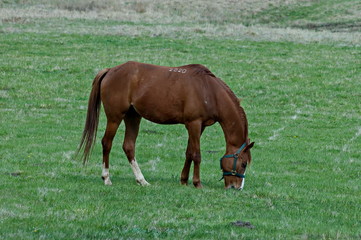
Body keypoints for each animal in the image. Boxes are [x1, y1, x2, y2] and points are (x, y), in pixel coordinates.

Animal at [77, 61, 255, 189]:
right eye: (243, 163)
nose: (237, 187)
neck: (209, 90)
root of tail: (110, 70)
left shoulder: (198, 126)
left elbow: (189, 152)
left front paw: (184, 180)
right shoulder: (194, 124)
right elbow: (197, 155)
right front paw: (197, 183)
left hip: (133, 117)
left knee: (129, 146)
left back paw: (141, 180)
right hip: (115, 117)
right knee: (106, 143)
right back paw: (106, 178)